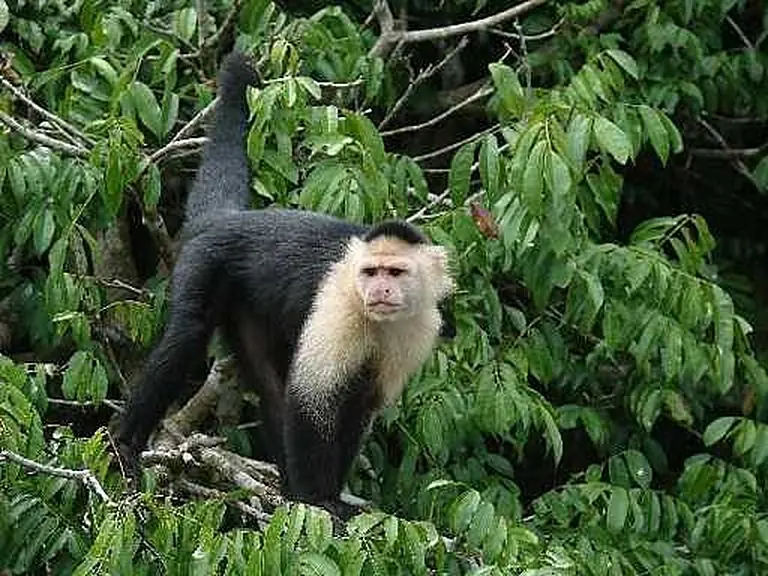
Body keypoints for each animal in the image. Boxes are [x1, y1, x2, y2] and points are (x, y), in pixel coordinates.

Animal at [116, 50, 455, 518]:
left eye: (396, 273)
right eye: (370, 273)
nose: (379, 291)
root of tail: (230, 219)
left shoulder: (420, 325)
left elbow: (359, 405)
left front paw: (325, 494)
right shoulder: (339, 304)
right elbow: (311, 399)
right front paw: (320, 499)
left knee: (269, 382)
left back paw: (287, 490)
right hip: (206, 261)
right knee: (189, 335)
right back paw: (125, 444)